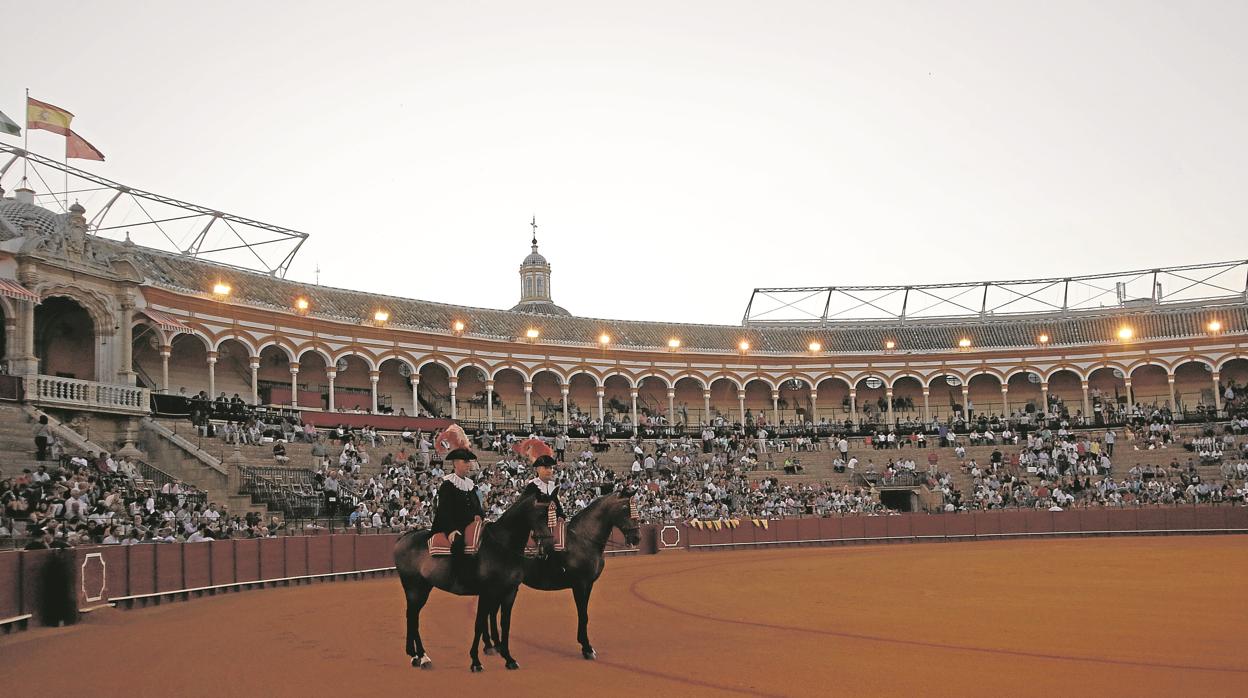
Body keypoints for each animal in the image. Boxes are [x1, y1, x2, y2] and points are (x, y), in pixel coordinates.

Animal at [396, 491, 554, 674]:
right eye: (541, 515)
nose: (549, 546)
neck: (502, 547)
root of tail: (405, 537)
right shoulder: (487, 593)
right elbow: (479, 623)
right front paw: (476, 661)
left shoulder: (509, 592)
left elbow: (504, 624)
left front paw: (508, 658)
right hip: (415, 588)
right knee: (413, 618)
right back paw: (422, 657)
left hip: (422, 588)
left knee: (411, 616)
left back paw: (414, 655)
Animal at [484, 491, 643, 659]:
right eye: (625, 508)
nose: (637, 537)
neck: (582, 541)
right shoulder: (580, 585)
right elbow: (583, 614)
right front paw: (587, 648)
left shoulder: (588, 585)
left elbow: (584, 614)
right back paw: (490, 645)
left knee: (491, 611)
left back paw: (494, 645)